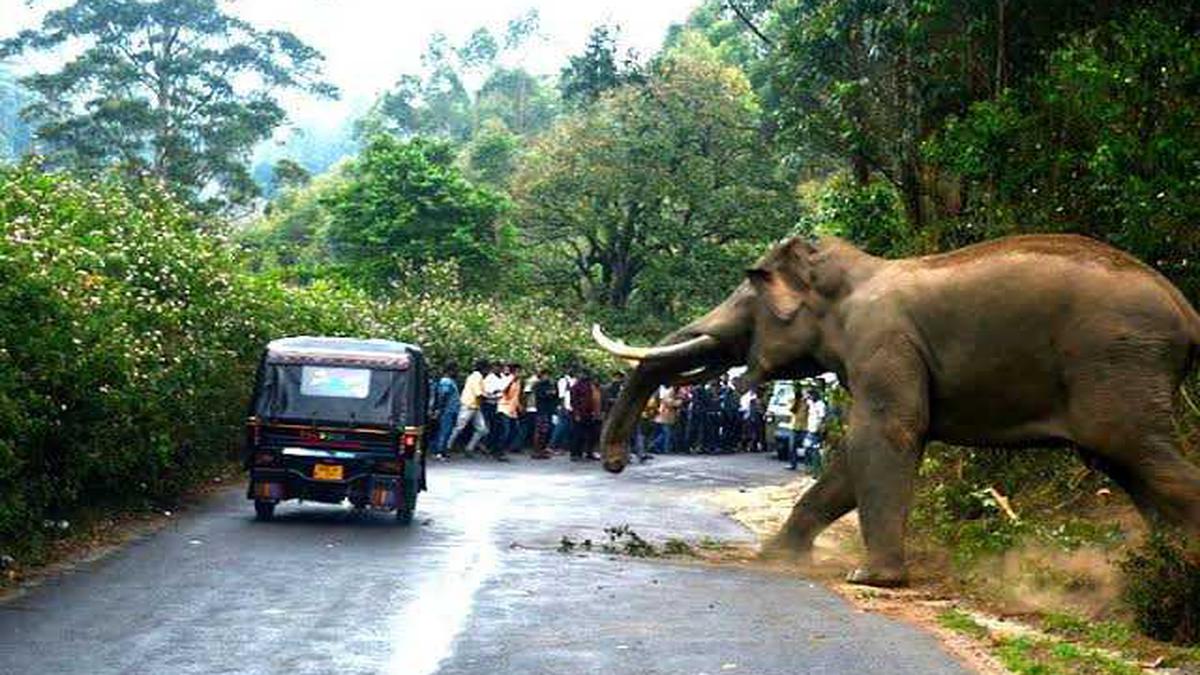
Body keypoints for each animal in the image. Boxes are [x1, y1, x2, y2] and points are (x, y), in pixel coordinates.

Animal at [597, 234, 1200, 586]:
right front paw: (774, 557)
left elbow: (885, 434)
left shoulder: (882, 342)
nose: (616, 463)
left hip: (1116, 363)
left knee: (1141, 456)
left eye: (747, 297)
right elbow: (847, 462)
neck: (854, 272)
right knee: (1131, 467)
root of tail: (1188, 312)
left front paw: (869, 578)